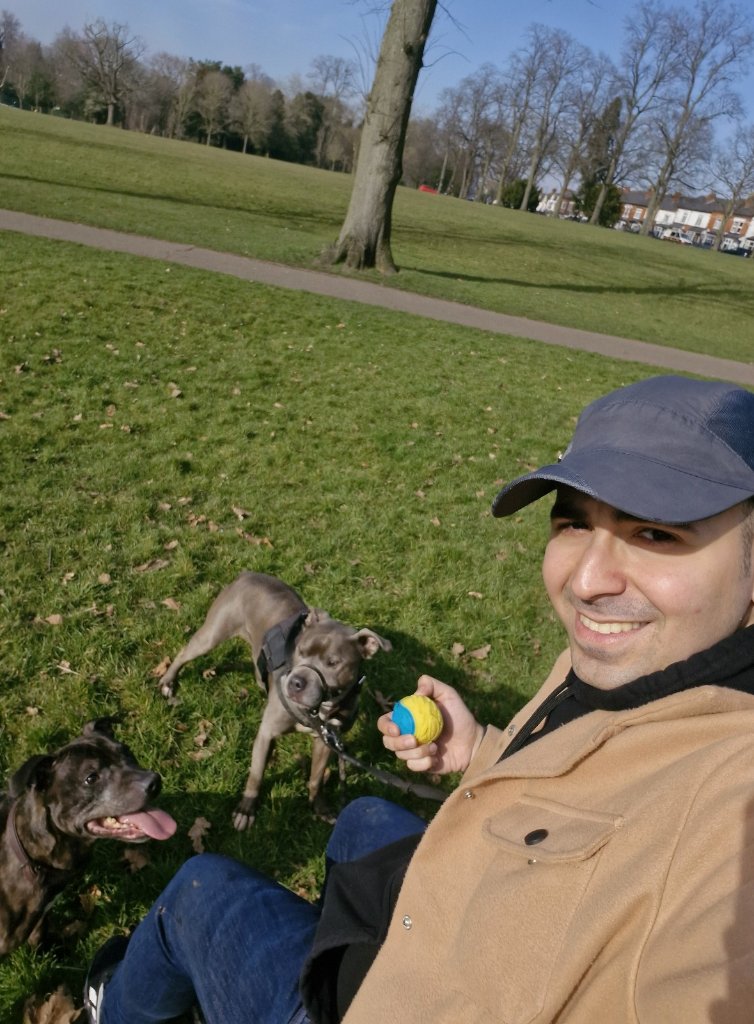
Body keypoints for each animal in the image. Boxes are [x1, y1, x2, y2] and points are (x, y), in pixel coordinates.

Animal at [159, 571, 392, 829]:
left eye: (333, 663)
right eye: (300, 651)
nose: (296, 682)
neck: (319, 709)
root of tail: (248, 573)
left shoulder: (326, 741)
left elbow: (316, 777)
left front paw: (319, 806)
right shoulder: (267, 733)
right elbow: (256, 775)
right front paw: (246, 810)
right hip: (212, 634)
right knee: (184, 653)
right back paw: (168, 681)